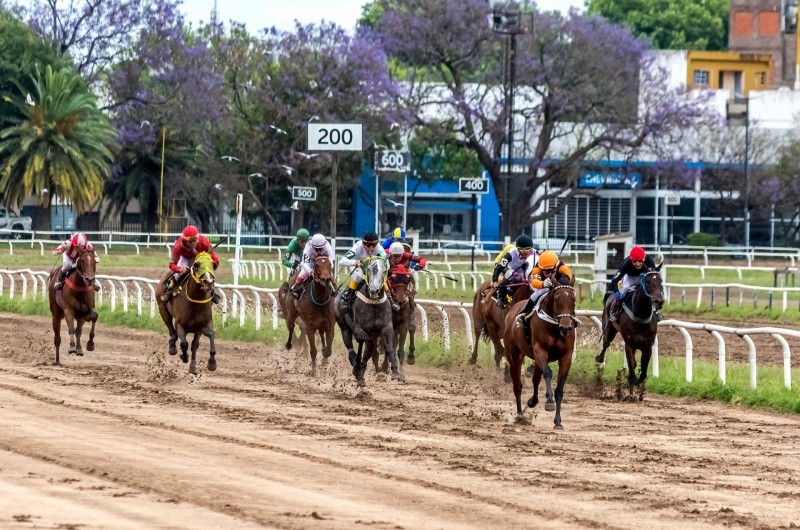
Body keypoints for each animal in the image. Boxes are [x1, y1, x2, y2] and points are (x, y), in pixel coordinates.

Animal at [332, 258, 404, 386]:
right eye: (369, 269)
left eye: (384, 271)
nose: (374, 290)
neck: (374, 305)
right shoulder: (358, 328)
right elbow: (363, 345)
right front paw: (357, 368)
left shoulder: (387, 328)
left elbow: (389, 348)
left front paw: (395, 372)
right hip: (343, 326)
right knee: (351, 347)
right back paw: (357, 368)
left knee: (368, 350)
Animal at [506, 274, 576, 426]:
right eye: (556, 299)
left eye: (573, 300)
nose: (566, 328)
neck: (555, 327)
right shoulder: (540, 350)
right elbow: (548, 373)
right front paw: (549, 402)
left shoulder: (566, 357)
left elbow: (559, 389)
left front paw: (558, 421)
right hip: (514, 355)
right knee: (517, 384)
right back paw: (519, 414)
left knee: (535, 379)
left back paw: (532, 401)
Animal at [596, 264, 664, 396]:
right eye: (648, 281)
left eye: (661, 281)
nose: (659, 301)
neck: (641, 314)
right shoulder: (629, 344)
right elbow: (632, 372)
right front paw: (630, 391)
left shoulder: (647, 346)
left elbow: (643, 374)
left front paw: (639, 387)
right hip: (609, 329)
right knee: (605, 343)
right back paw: (599, 359)